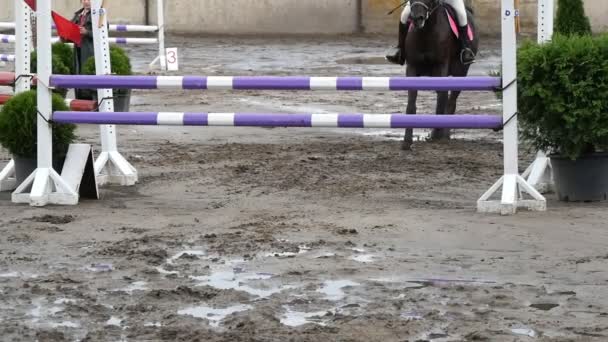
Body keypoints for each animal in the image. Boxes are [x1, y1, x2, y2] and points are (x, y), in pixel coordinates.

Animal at [404, 0, 480, 150]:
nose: (417, 19)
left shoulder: (441, 66)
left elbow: (442, 100)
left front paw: (437, 135)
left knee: (451, 102)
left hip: (461, 72)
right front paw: (407, 141)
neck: (426, 31)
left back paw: (444, 134)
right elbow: (411, 102)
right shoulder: (412, 67)